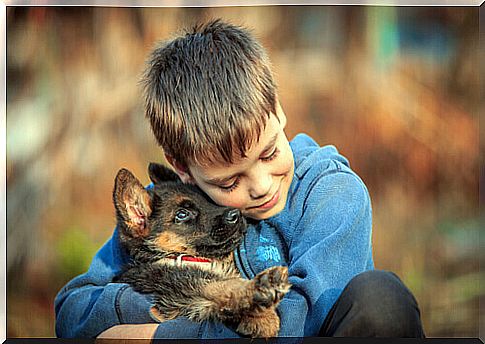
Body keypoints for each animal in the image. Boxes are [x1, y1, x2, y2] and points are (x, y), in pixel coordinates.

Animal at [111, 163, 290, 338]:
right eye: (182, 214)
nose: (236, 214)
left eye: (207, 199)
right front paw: (262, 299)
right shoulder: (179, 285)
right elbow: (222, 285)